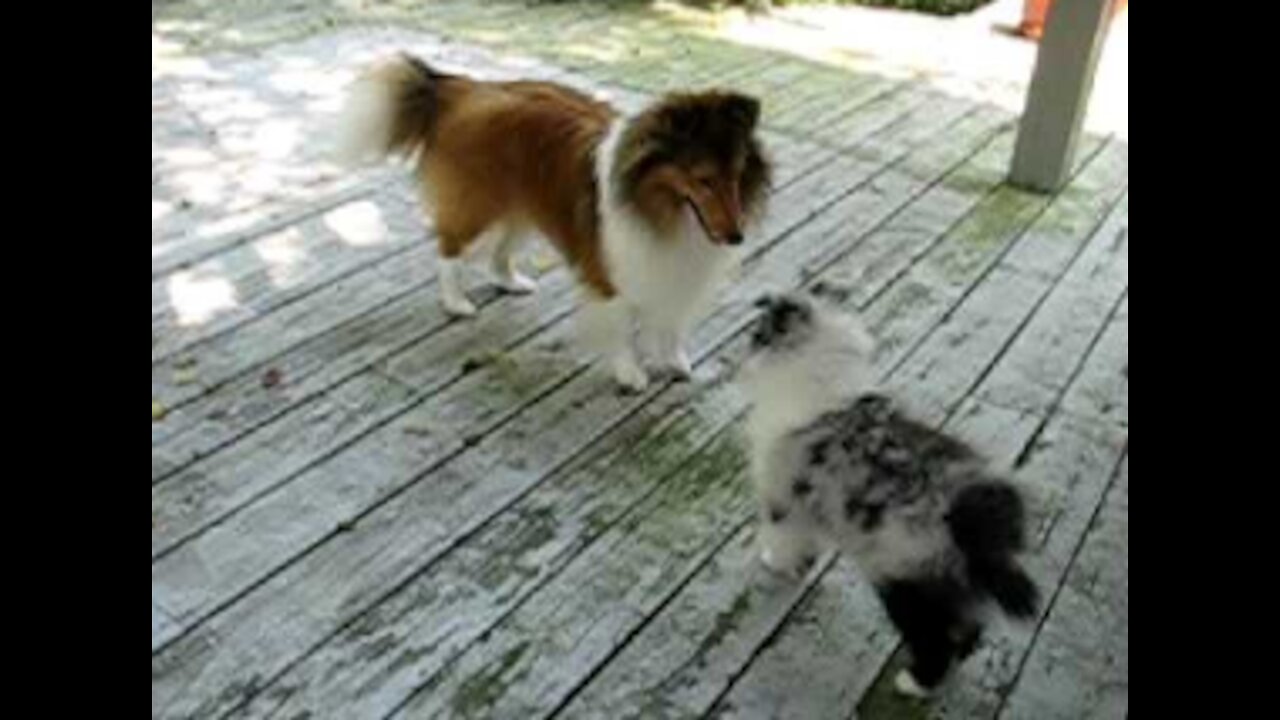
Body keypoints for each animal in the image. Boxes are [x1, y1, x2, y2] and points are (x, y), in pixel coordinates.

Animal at [742, 285, 1039, 696]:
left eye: (758, 332)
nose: (743, 354)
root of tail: (971, 519)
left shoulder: (780, 496)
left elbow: (781, 538)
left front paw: (776, 563)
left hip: (904, 583)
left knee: (934, 640)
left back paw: (915, 683)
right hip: (951, 585)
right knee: (969, 625)